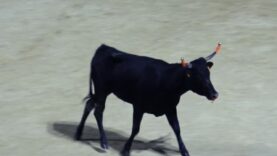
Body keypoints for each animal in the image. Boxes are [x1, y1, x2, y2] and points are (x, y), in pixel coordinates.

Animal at [74, 44, 219, 156]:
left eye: (208, 74)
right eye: (197, 76)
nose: (215, 94)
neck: (166, 80)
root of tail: (103, 48)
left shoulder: (170, 108)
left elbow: (177, 128)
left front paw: (184, 151)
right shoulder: (138, 106)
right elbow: (135, 129)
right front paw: (125, 150)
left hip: (103, 91)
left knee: (89, 104)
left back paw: (78, 134)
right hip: (101, 90)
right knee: (98, 111)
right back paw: (104, 143)